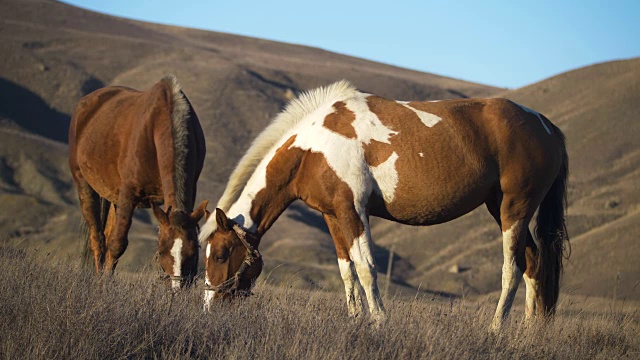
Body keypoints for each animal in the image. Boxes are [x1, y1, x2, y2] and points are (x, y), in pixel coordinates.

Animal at [68, 74, 208, 288]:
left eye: (193, 252)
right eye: (161, 252)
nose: (176, 288)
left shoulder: (190, 190)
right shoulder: (129, 194)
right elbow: (117, 243)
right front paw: (106, 283)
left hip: (113, 197)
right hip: (83, 183)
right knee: (98, 237)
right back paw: (99, 276)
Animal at [200, 80, 568, 330]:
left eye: (221, 254)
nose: (209, 306)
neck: (313, 148)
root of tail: (547, 126)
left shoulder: (353, 210)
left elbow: (366, 268)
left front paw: (378, 322)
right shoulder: (332, 215)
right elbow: (347, 272)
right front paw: (355, 320)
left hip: (514, 209)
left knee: (512, 268)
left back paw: (495, 330)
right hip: (502, 208)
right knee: (533, 262)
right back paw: (528, 332)